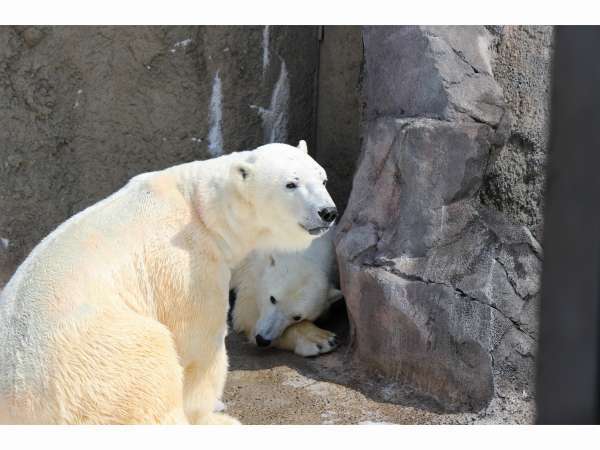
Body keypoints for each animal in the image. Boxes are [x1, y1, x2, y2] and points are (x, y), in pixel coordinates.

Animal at [0, 142, 336, 426]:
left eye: (323, 178)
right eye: (291, 183)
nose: (328, 212)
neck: (202, 210)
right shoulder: (188, 263)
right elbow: (199, 345)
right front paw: (208, 413)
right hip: (95, 361)